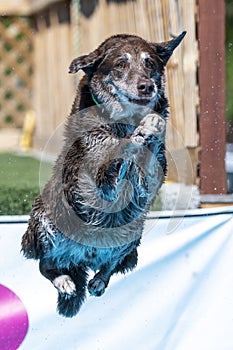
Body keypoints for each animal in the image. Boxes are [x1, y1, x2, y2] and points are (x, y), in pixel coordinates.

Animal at [21, 32, 186, 318]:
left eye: (150, 63)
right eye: (120, 64)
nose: (146, 87)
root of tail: (80, 258)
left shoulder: (150, 181)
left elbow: (149, 156)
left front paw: (153, 123)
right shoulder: (102, 180)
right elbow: (121, 149)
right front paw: (141, 132)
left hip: (133, 233)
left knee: (110, 264)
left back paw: (98, 280)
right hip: (45, 220)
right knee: (45, 264)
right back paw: (64, 281)